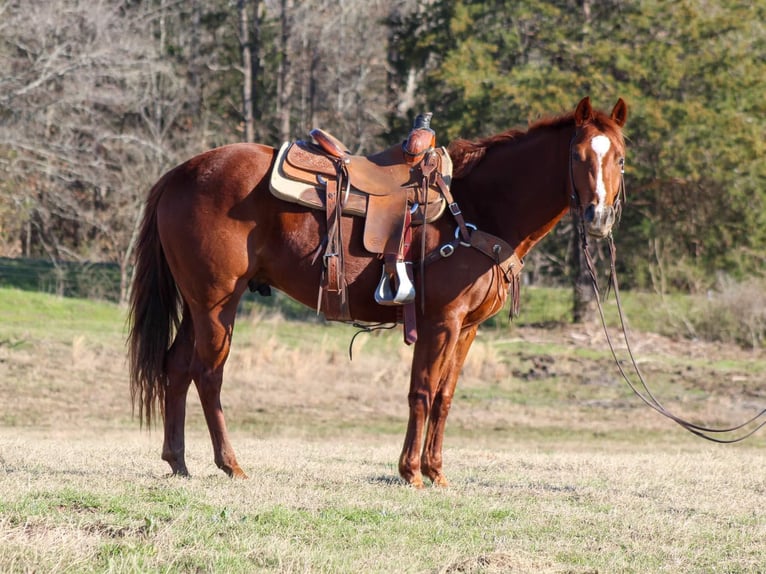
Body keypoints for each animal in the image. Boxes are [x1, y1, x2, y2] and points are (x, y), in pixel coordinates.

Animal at [127, 97, 632, 488]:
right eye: (578, 156)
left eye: (621, 157)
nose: (599, 217)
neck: (478, 208)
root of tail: (180, 172)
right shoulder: (440, 322)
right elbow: (422, 392)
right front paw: (411, 472)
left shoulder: (467, 328)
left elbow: (445, 397)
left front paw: (436, 472)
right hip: (217, 303)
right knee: (209, 374)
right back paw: (231, 464)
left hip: (197, 304)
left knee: (176, 367)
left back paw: (178, 462)